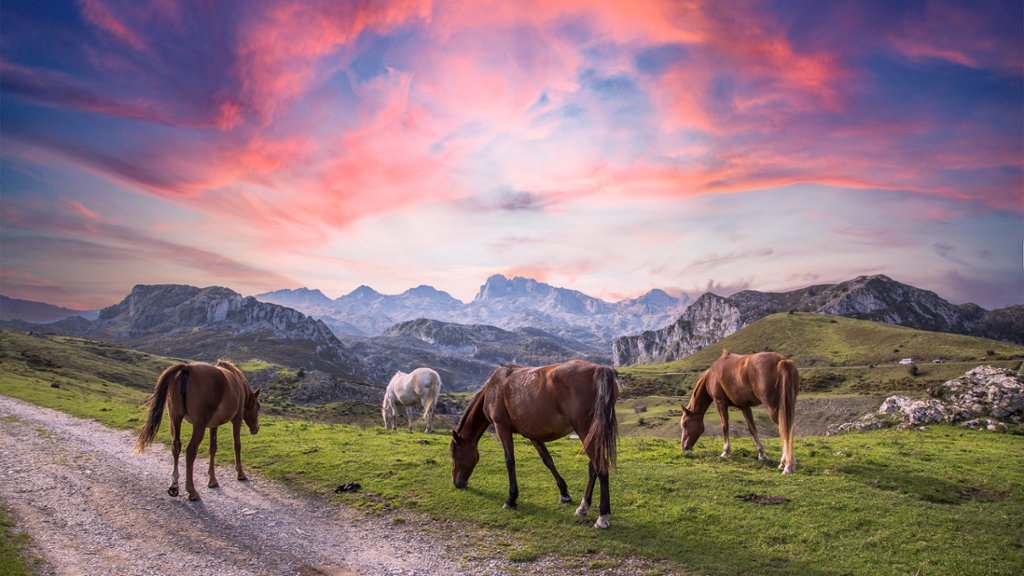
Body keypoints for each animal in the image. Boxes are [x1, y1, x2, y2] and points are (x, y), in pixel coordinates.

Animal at [134, 360, 261, 500]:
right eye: (258, 407)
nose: (256, 428)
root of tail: (187, 368)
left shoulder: (213, 425)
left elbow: (213, 449)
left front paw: (212, 480)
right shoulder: (237, 419)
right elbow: (237, 445)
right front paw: (240, 473)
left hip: (175, 418)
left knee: (176, 446)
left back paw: (174, 485)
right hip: (199, 424)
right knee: (190, 451)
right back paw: (192, 490)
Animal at [450, 360, 619, 529]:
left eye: (454, 455)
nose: (457, 483)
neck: (494, 387)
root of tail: (598, 369)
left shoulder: (501, 428)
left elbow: (509, 461)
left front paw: (511, 499)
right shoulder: (533, 434)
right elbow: (548, 460)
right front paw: (564, 493)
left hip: (585, 431)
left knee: (600, 468)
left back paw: (602, 516)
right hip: (592, 434)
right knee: (593, 469)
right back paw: (583, 507)